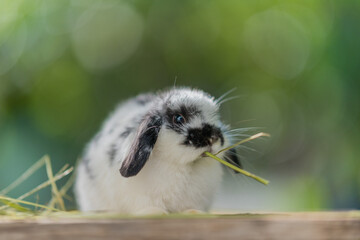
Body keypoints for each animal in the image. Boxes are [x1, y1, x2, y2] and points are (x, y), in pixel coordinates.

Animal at [74, 87, 242, 215]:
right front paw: (155, 212)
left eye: (216, 117)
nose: (213, 138)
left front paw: (194, 212)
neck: (184, 166)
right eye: (179, 118)